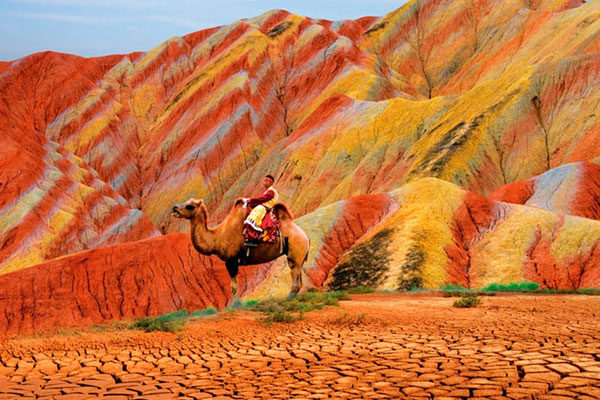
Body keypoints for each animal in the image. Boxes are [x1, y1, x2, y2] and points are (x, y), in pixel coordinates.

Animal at [170, 197, 308, 300]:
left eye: (190, 206)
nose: (174, 207)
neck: (216, 238)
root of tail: (306, 237)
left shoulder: (231, 260)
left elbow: (234, 288)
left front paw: (235, 305)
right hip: (298, 257)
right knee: (299, 279)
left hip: (296, 250)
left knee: (294, 276)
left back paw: (287, 298)